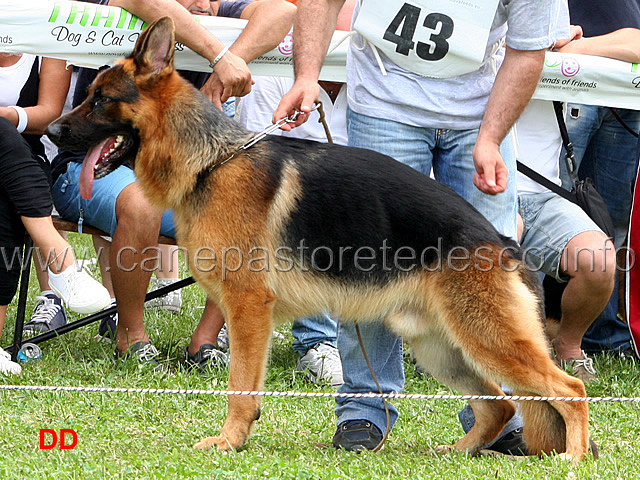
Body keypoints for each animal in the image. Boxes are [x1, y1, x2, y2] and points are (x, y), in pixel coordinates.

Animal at [46, 17, 592, 462]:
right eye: (88, 94)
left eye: (101, 99)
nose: (50, 129)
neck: (210, 161)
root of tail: (502, 241)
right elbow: (245, 386)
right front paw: (237, 439)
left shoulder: (248, 308)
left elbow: (240, 386)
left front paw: (229, 441)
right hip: (441, 347)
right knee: (498, 406)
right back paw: (458, 451)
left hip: (488, 340)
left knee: (569, 390)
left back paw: (573, 457)